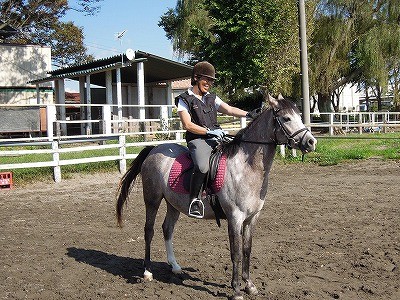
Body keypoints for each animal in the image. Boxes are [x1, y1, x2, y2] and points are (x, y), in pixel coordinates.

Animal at [115, 94, 316, 300]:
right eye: (286, 118)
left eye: (299, 116)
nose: (311, 142)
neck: (246, 168)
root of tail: (154, 149)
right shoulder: (235, 218)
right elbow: (236, 253)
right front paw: (236, 290)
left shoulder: (252, 218)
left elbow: (247, 250)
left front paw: (249, 285)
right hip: (152, 200)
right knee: (149, 231)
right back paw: (147, 272)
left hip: (173, 204)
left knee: (167, 229)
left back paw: (176, 267)